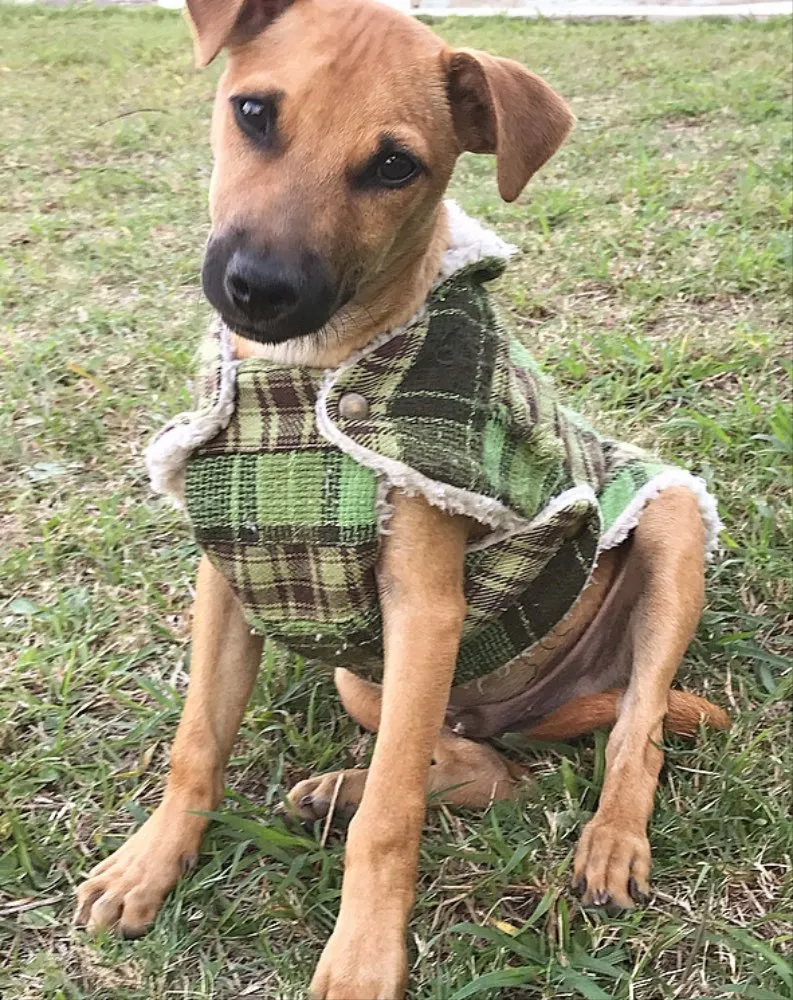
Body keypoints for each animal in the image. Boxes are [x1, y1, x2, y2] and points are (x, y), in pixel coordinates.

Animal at [74, 1, 730, 997]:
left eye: (393, 167)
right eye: (253, 112)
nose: (259, 290)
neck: (299, 383)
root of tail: (531, 709)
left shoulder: (424, 607)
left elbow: (392, 818)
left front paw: (363, 954)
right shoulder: (229, 579)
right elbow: (197, 744)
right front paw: (150, 864)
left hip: (667, 526)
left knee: (634, 728)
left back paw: (611, 838)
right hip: (365, 676)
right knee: (482, 767)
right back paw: (341, 790)